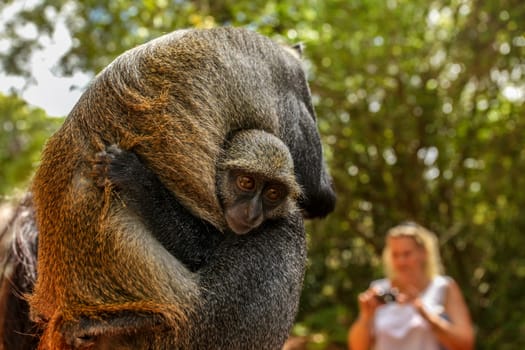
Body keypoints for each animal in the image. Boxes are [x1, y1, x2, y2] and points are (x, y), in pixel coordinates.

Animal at [4, 26, 334, 348]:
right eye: (245, 183)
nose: (250, 212)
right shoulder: (290, 85)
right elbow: (313, 196)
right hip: (198, 330)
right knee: (285, 225)